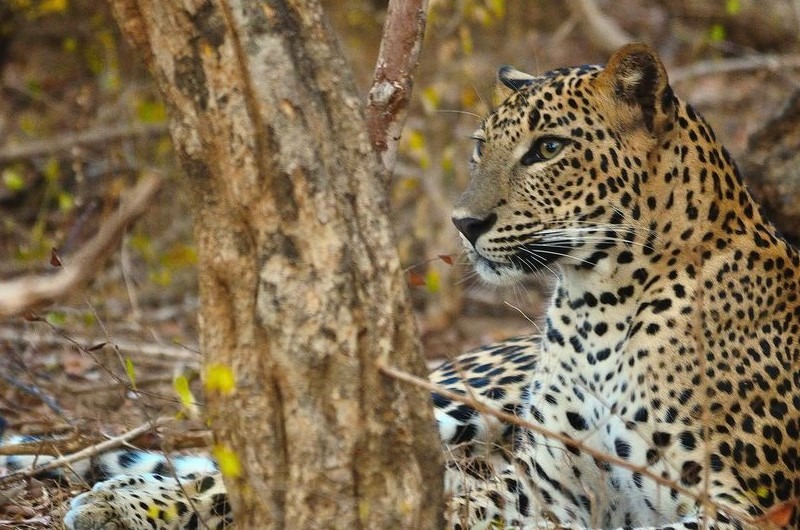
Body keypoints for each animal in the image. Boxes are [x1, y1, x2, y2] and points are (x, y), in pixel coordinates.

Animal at [1, 44, 800, 528]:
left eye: (548, 149)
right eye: (481, 147)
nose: (465, 223)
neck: (601, 305)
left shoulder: (745, 507)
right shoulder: (545, 484)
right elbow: (452, 503)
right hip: (459, 396)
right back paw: (119, 503)